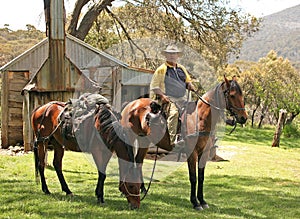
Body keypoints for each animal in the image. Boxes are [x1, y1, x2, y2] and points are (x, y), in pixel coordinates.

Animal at [118, 75, 247, 210]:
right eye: (232, 95)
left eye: (242, 95)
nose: (244, 117)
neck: (199, 119)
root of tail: (131, 104)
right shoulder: (192, 153)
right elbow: (193, 177)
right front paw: (195, 202)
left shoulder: (204, 153)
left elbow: (201, 177)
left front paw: (202, 201)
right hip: (129, 138)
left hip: (144, 142)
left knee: (138, 162)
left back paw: (142, 189)